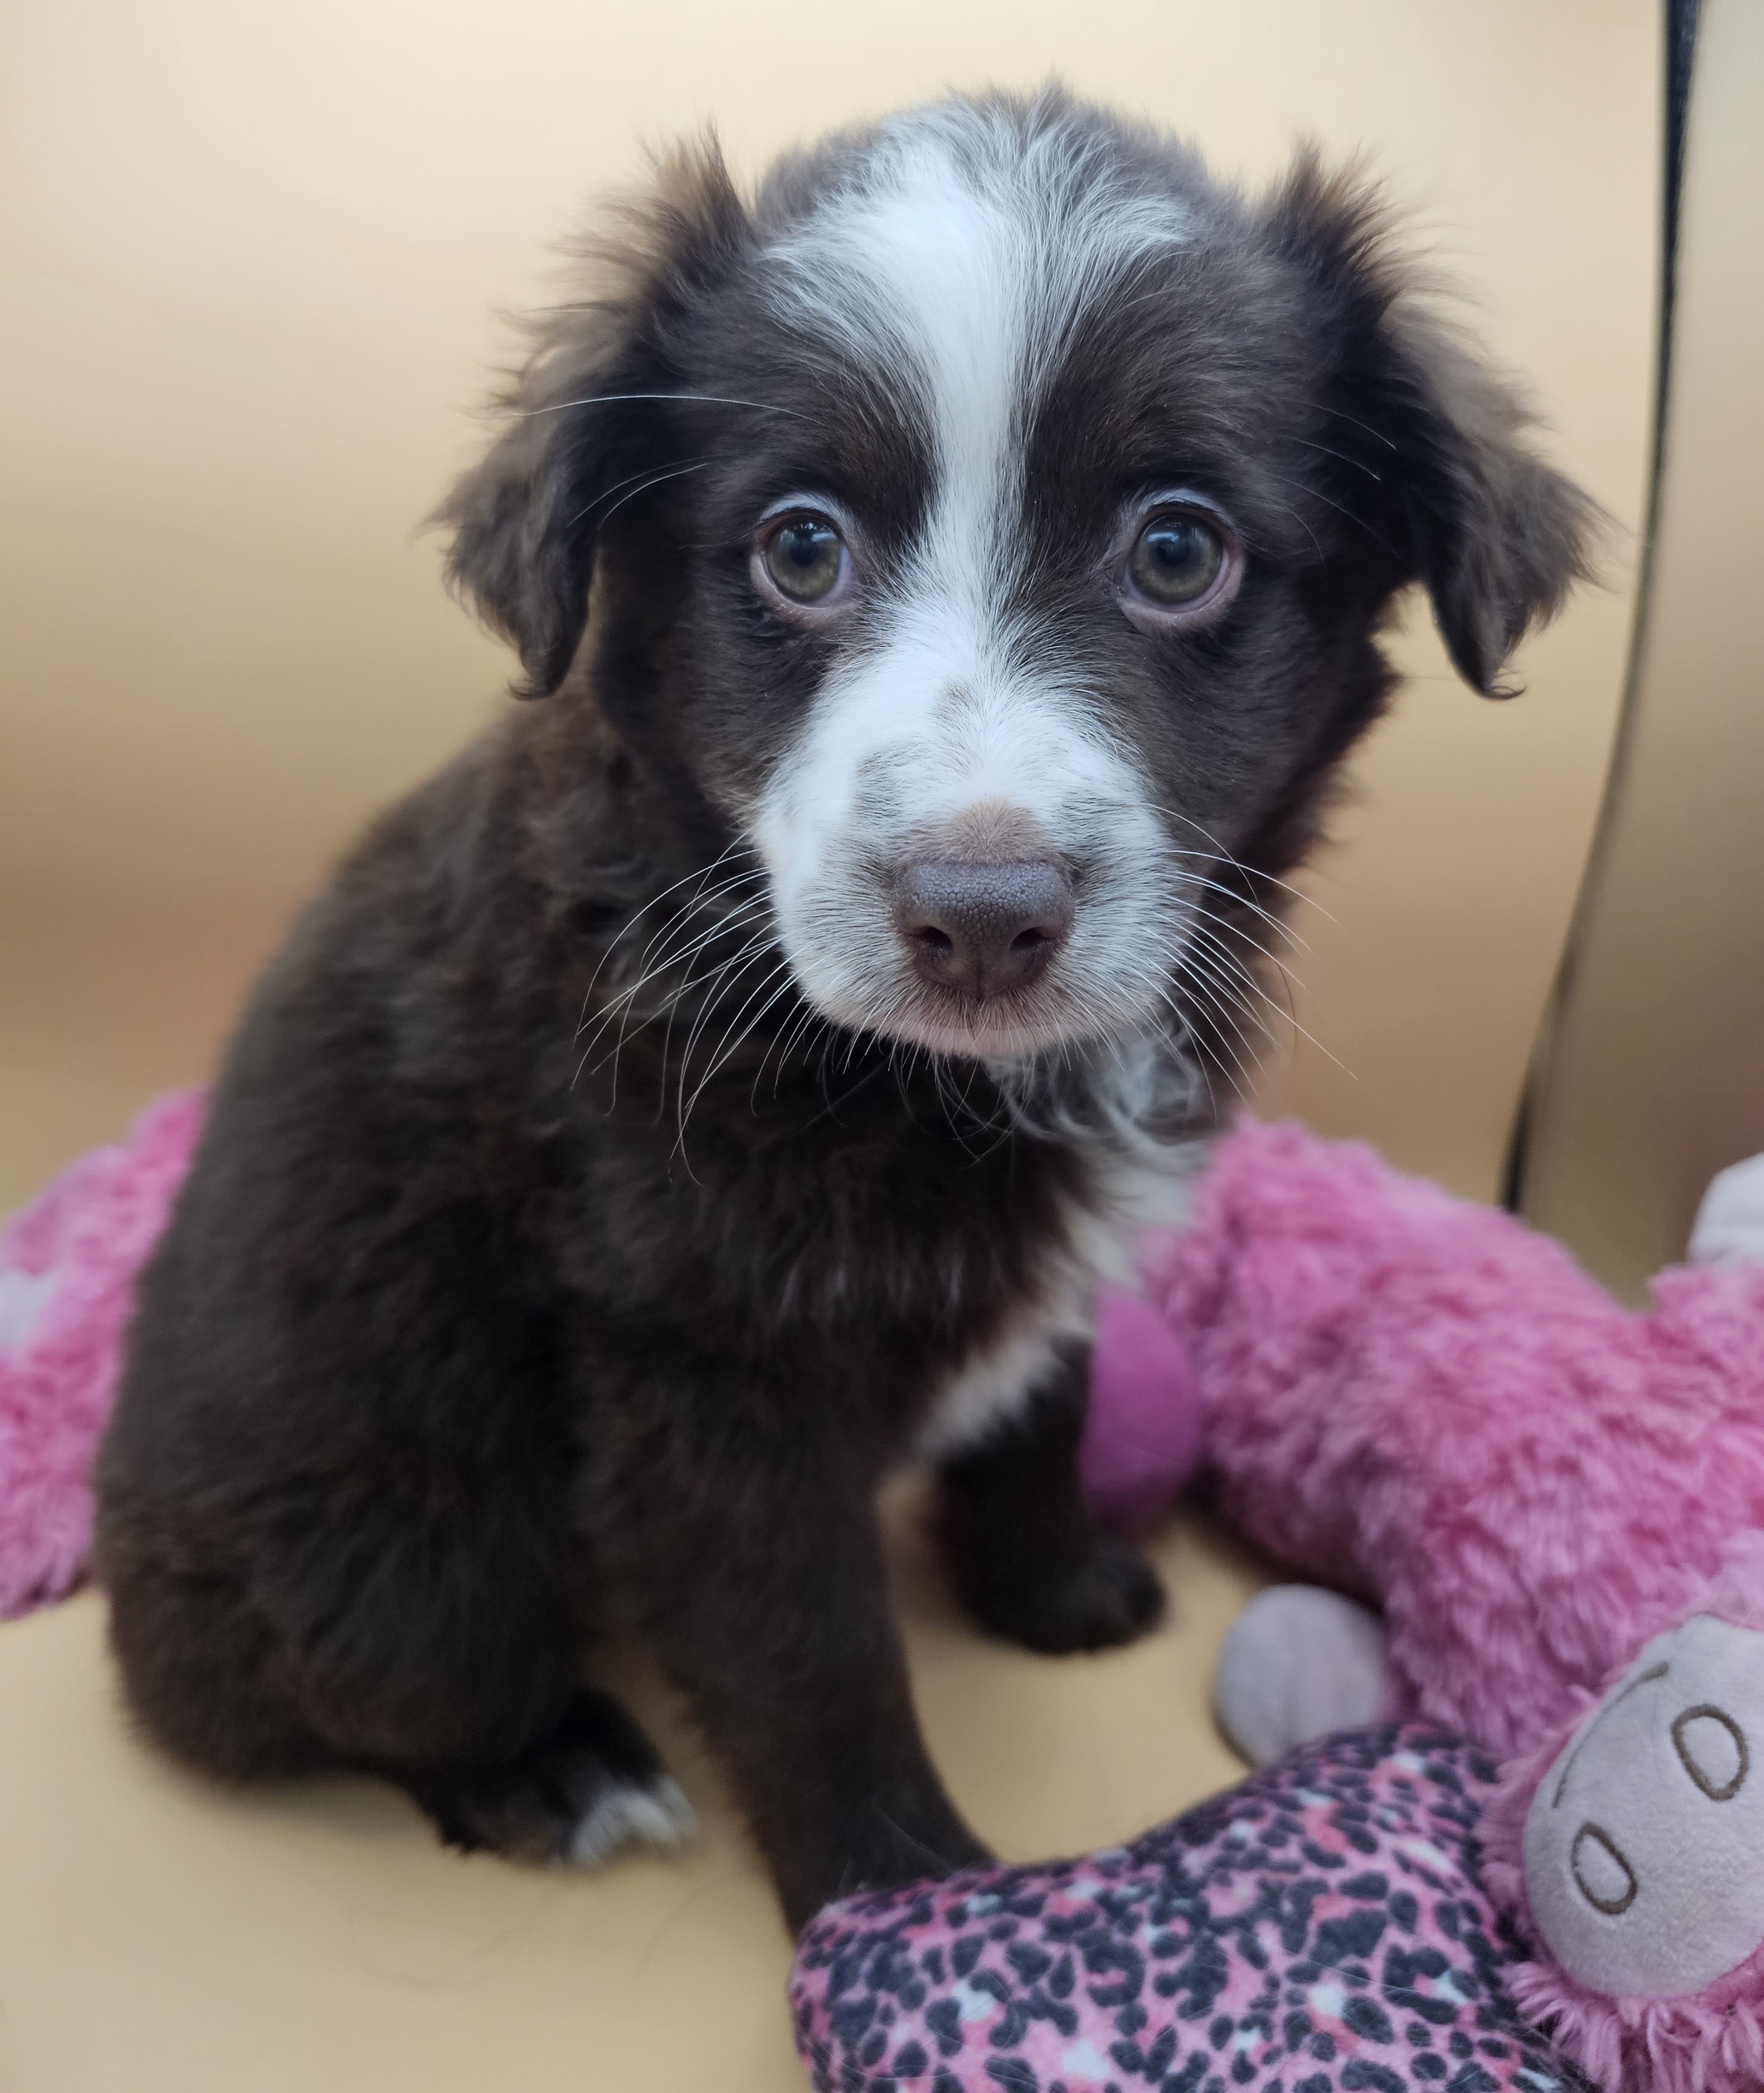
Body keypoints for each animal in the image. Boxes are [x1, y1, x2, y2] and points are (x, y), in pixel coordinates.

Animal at [95, 86, 1596, 1934]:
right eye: (799, 546)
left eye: (1176, 547)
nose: (981, 917)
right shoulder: (700, 1370)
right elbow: (808, 1660)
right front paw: (907, 1904)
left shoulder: (1033, 1278)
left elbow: (1038, 1405)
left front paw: (1053, 1586)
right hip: (394, 1548)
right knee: (363, 1693)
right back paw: (553, 1769)